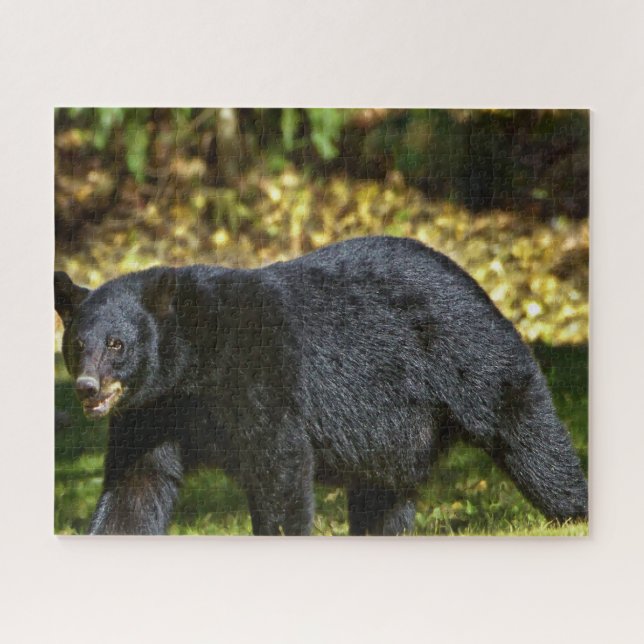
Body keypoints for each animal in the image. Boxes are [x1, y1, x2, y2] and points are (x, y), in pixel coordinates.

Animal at [54, 236, 588, 535]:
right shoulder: (153, 412)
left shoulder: (258, 374)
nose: (86, 387)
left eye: (118, 344)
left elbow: (280, 464)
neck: (193, 363)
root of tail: (470, 277)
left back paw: (573, 512)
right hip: (395, 434)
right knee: (383, 494)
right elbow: (136, 486)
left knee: (527, 433)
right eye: (78, 343)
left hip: (468, 356)